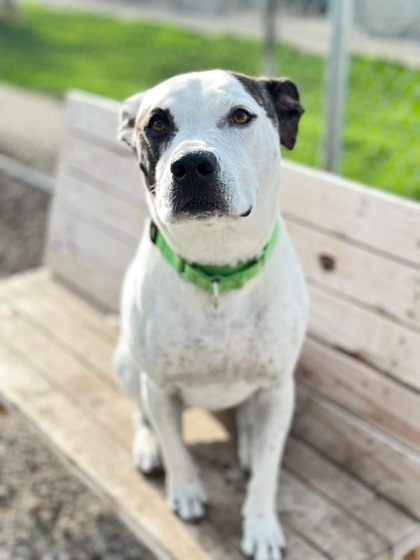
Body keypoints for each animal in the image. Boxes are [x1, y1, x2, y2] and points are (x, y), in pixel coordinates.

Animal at [114, 70, 308, 560]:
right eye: (157, 123)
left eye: (240, 115)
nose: (192, 165)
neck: (218, 267)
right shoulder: (161, 387)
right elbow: (176, 447)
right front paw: (185, 491)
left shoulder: (279, 387)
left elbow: (269, 469)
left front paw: (261, 525)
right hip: (126, 362)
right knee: (140, 412)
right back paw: (148, 447)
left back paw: (249, 441)